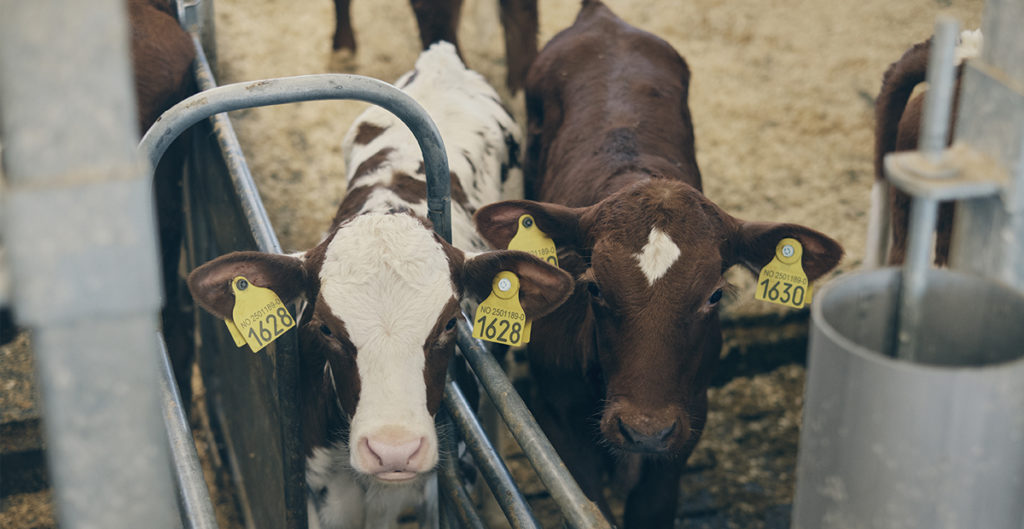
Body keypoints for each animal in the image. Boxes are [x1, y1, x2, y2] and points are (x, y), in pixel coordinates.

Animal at [475, 2, 843, 523]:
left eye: (714, 294)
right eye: (594, 288)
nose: (644, 430)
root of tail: (601, 18)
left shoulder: (687, 421)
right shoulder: (558, 420)